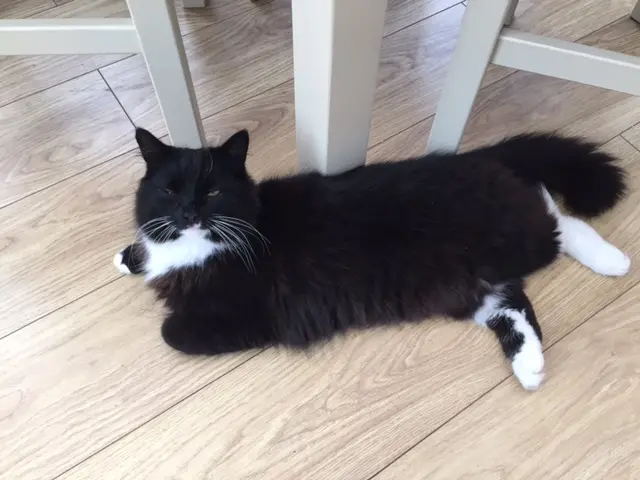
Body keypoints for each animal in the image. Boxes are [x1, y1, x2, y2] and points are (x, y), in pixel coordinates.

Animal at [112, 127, 628, 390]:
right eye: (169, 190)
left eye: (213, 192)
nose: (188, 212)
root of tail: (478, 156)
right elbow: (146, 247)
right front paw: (128, 256)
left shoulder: (245, 312)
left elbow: (171, 332)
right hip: (469, 285)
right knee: (514, 306)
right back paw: (531, 368)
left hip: (514, 238)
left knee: (555, 216)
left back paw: (612, 260)